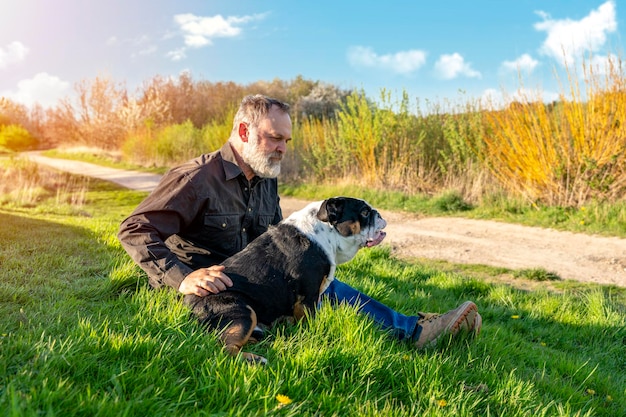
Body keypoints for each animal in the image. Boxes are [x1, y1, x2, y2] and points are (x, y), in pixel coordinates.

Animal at [183, 197, 386, 362]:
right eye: (365, 212)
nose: (379, 213)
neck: (326, 233)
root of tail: (188, 310)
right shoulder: (309, 297)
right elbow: (310, 321)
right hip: (243, 312)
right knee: (224, 346)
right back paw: (255, 359)